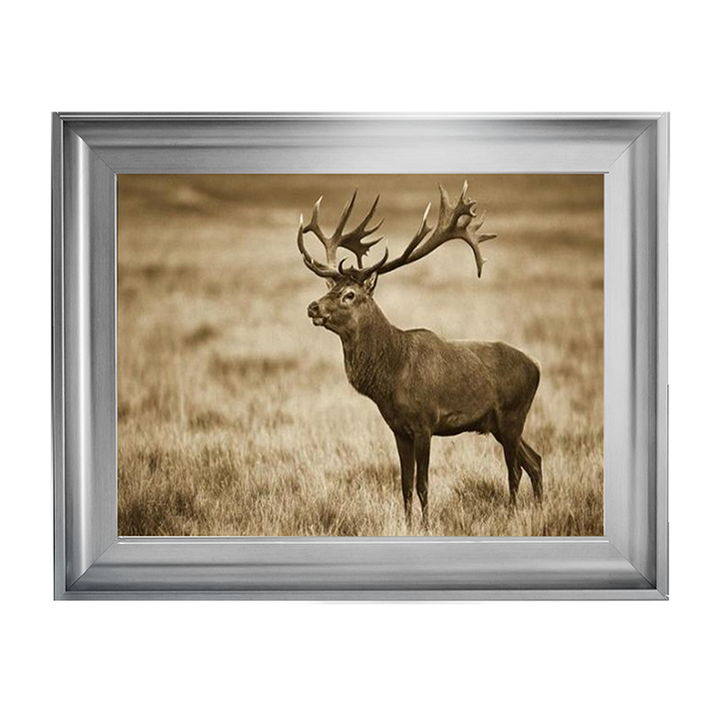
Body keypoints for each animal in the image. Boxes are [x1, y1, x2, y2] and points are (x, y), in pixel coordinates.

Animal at [297, 182, 543, 530]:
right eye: (329, 287)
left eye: (350, 295)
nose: (313, 307)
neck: (390, 376)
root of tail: (537, 367)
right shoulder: (398, 429)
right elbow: (404, 484)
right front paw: (408, 523)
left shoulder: (425, 422)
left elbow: (423, 484)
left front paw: (425, 526)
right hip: (499, 424)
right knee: (535, 460)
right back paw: (540, 509)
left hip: (512, 415)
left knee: (515, 471)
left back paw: (512, 515)